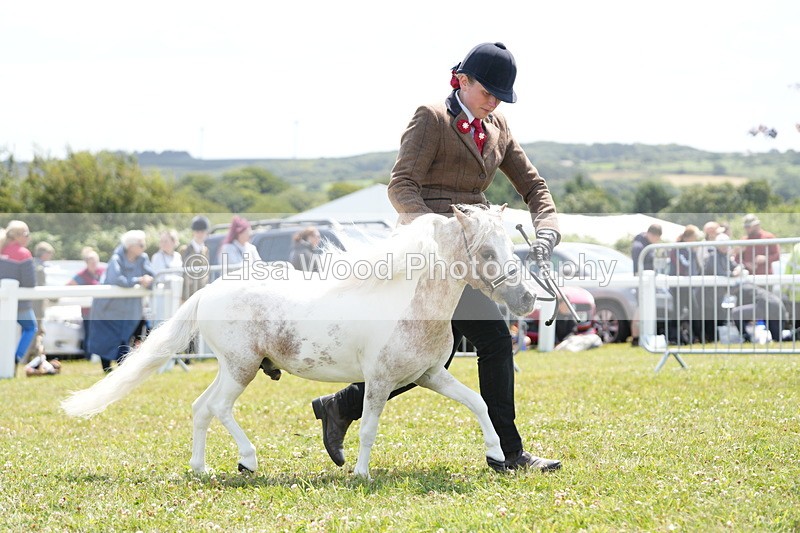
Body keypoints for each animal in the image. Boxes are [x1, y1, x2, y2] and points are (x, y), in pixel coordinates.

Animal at [61, 205, 539, 479]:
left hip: (230, 366)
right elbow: (368, 429)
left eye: (510, 246)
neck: (409, 302)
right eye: (487, 253)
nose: (527, 299)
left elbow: (478, 403)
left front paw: (497, 455)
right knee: (218, 408)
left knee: (200, 408)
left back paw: (202, 468)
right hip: (242, 368)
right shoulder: (380, 380)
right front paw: (361, 474)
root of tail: (206, 291)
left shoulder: (429, 375)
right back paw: (248, 460)